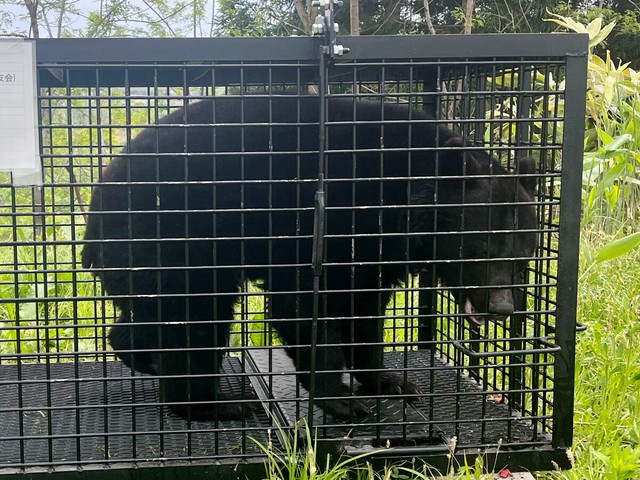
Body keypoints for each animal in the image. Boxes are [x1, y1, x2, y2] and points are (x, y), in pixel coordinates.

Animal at [82, 96, 538, 421]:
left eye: (523, 259)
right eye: (479, 249)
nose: (501, 307)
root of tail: (97, 201)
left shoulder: (374, 255)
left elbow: (363, 311)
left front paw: (389, 381)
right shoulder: (320, 222)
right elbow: (303, 304)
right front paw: (340, 399)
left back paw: (141, 356)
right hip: (170, 239)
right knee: (192, 317)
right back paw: (214, 403)